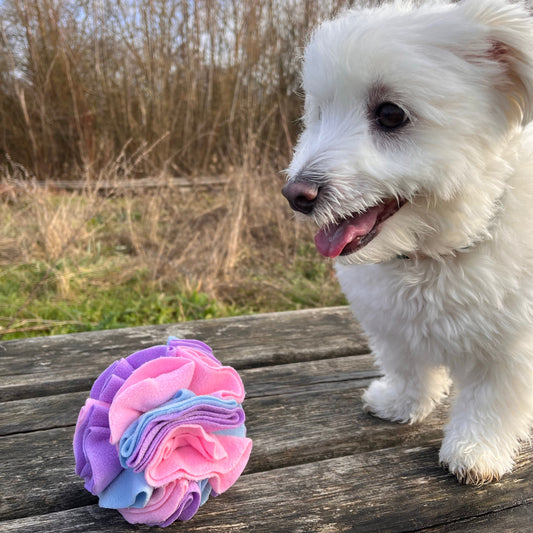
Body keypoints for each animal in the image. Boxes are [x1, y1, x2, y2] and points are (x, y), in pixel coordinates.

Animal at [282, 0, 532, 484]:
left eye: (391, 114)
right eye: (319, 113)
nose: (295, 195)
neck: (433, 254)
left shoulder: (512, 347)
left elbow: (491, 399)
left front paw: (476, 449)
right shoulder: (393, 327)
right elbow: (409, 366)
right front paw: (401, 403)